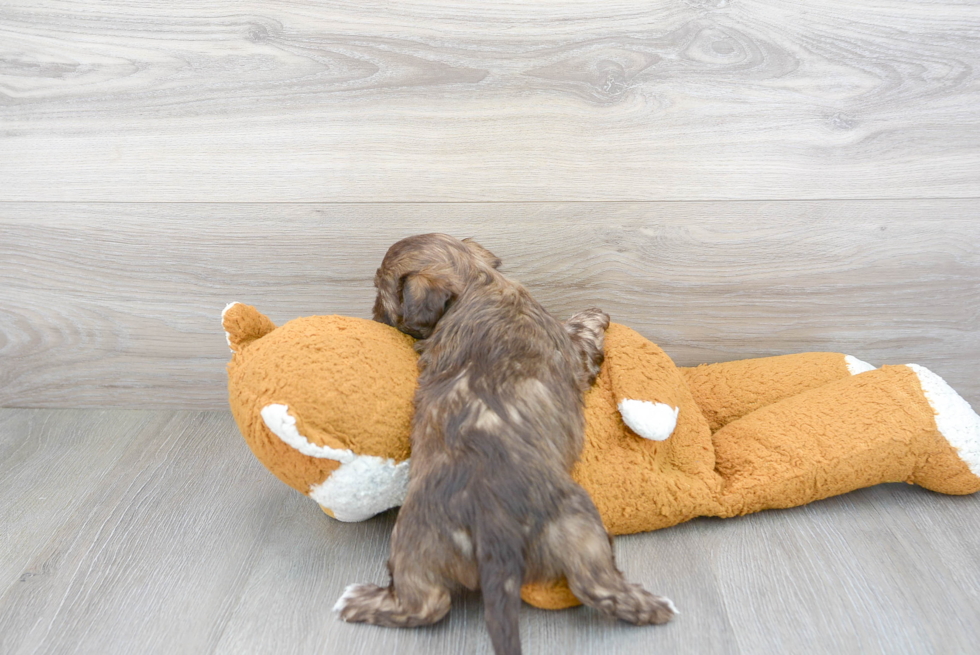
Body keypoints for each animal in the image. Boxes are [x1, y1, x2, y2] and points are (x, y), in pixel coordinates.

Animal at [336, 236, 672, 655]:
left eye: (381, 296)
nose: (373, 315)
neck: (478, 284)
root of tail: (493, 525)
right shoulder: (574, 354)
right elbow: (581, 330)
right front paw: (595, 314)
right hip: (569, 525)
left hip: (451, 539)